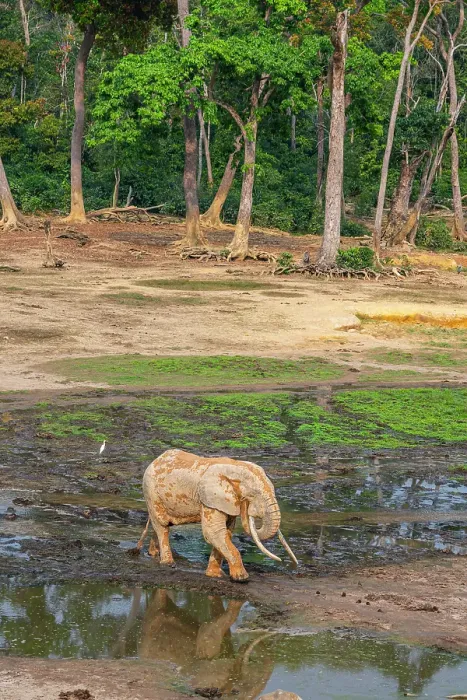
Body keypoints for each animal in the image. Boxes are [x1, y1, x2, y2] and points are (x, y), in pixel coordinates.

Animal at [135, 448, 298, 581]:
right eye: (252, 495)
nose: (286, 563)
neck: (235, 467)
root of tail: (155, 460)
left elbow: (226, 532)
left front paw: (216, 575)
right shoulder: (210, 499)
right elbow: (213, 533)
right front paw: (242, 578)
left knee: (162, 525)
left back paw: (153, 554)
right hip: (150, 492)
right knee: (162, 525)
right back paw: (168, 563)